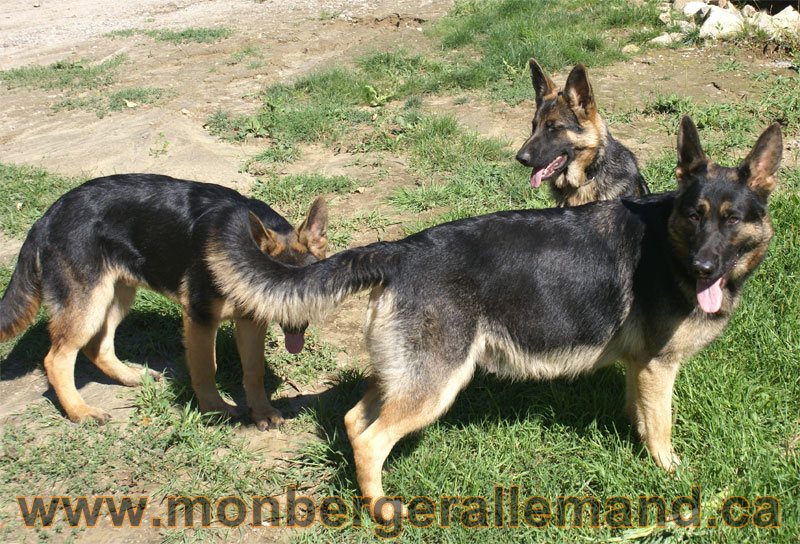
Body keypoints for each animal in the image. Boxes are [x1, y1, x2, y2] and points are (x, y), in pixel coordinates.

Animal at [0, 174, 328, 430]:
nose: (296, 328)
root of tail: (47, 217)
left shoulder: (250, 320)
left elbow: (254, 370)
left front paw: (261, 412)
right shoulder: (199, 319)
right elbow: (207, 367)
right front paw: (215, 409)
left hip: (116, 296)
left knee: (98, 347)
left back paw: (130, 376)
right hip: (89, 305)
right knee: (56, 359)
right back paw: (80, 411)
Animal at [211, 116, 780, 520]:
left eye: (731, 220)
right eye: (695, 216)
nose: (704, 268)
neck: (669, 242)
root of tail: (400, 250)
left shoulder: (641, 369)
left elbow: (641, 418)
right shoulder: (660, 369)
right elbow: (661, 429)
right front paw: (669, 474)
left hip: (408, 375)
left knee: (354, 421)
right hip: (436, 384)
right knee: (372, 438)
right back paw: (380, 511)